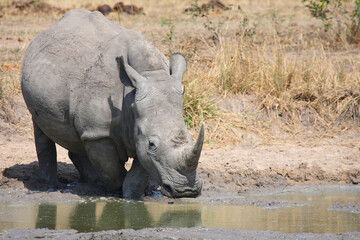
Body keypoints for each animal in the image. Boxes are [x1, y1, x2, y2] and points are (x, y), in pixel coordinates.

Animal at [21, 9, 204, 199]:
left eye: (192, 138)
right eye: (152, 144)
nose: (186, 191)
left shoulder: (139, 129)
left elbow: (140, 170)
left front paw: (134, 195)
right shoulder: (99, 132)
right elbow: (111, 169)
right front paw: (117, 191)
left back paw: (91, 181)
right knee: (40, 126)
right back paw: (50, 185)